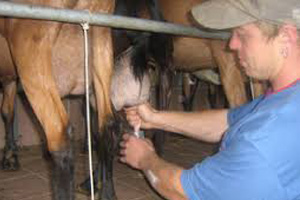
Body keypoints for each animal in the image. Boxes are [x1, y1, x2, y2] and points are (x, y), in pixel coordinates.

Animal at [0, 0, 116, 200]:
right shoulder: (10, 78)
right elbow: (8, 112)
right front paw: (10, 157)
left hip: (31, 47)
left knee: (60, 135)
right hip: (100, 43)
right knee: (106, 125)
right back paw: (108, 193)